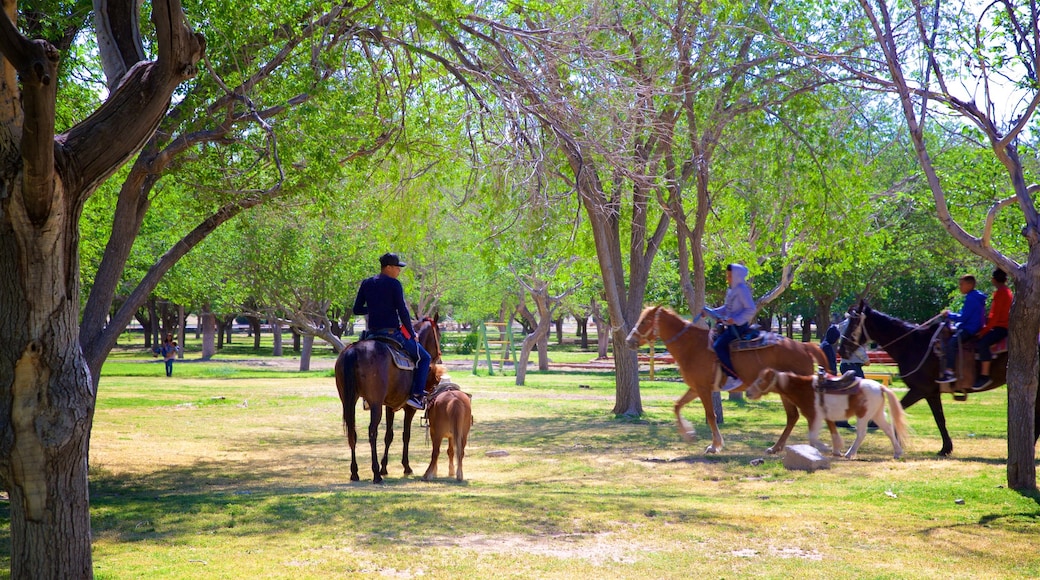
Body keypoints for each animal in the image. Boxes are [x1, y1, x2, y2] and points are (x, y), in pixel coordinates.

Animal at [334, 315, 440, 484]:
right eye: (439, 333)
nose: (438, 357)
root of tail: (353, 350)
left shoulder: (389, 405)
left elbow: (389, 435)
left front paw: (385, 467)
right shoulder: (409, 408)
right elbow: (405, 435)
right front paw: (406, 466)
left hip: (347, 400)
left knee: (352, 432)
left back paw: (355, 472)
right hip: (375, 403)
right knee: (372, 431)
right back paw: (375, 473)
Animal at [619, 307, 832, 457]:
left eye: (645, 320)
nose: (629, 340)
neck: (691, 346)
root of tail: (804, 346)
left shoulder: (704, 389)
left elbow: (710, 415)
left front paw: (715, 445)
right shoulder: (695, 388)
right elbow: (677, 406)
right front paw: (689, 434)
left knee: (804, 414)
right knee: (793, 416)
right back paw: (776, 447)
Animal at [748, 370, 911, 461]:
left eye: (761, 380)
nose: (749, 392)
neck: (804, 389)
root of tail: (880, 386)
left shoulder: (815, 417)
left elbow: (813, 437)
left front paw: (826, 448)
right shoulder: (817, 418)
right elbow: (817, 437)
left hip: (863, 416)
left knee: (861, 434)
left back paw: (849, 453)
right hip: (876, 414)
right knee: (888, 430)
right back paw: (897, 452)